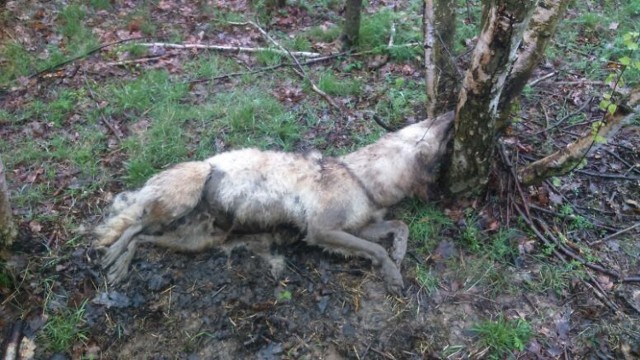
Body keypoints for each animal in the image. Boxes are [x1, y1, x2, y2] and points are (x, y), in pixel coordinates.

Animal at [96, 112, 456, 296]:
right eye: (429, 124)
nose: (452, 111)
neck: (361, 179)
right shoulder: (322, 230)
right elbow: (377, 248)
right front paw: (393, 274)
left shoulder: (358, 228)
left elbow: (398, 227)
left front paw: (398, 253)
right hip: (187, 192)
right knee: (137, 223)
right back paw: (114, 258)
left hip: (195, 240)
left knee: (142, 235)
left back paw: (118, 263)